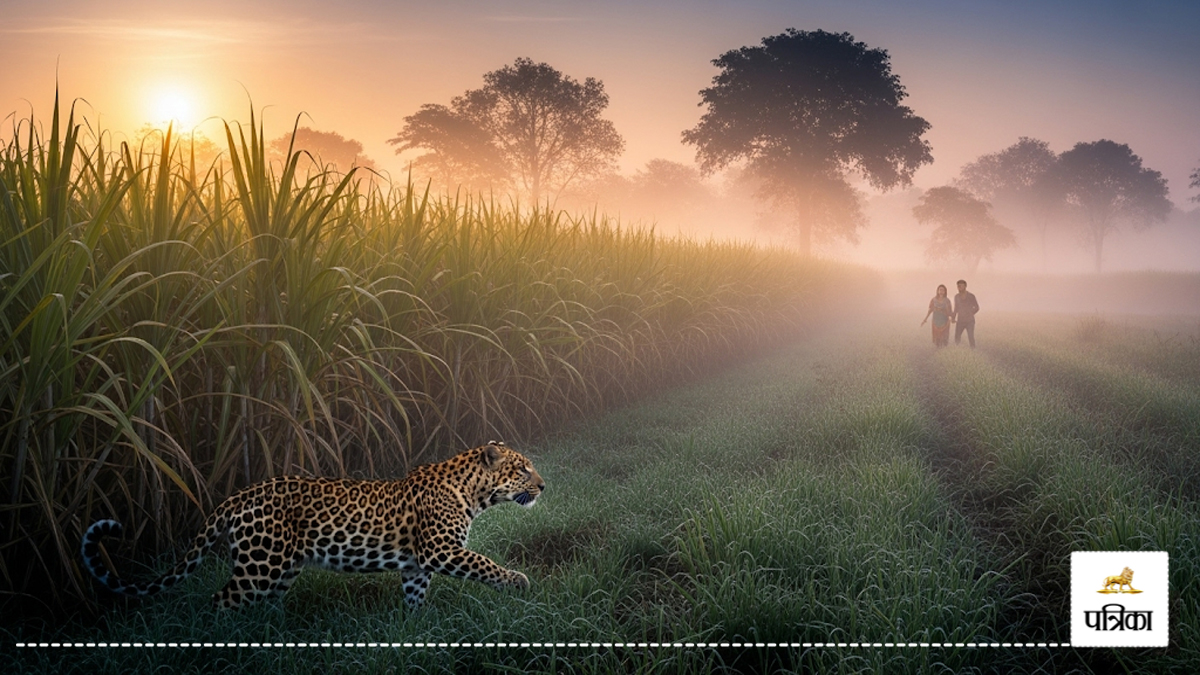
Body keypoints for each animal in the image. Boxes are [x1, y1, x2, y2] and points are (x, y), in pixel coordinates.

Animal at [82, 441, 544, 609]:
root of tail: (239, 495)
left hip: (279, 570)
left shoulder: (417, 565)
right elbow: (485, 564)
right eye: (522, 469)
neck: (475, 492)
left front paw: (416, 626)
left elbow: (415, 596)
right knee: (221, 602)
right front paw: (519, 582)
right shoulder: (441, 551)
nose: (543, 485)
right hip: (258, 567)